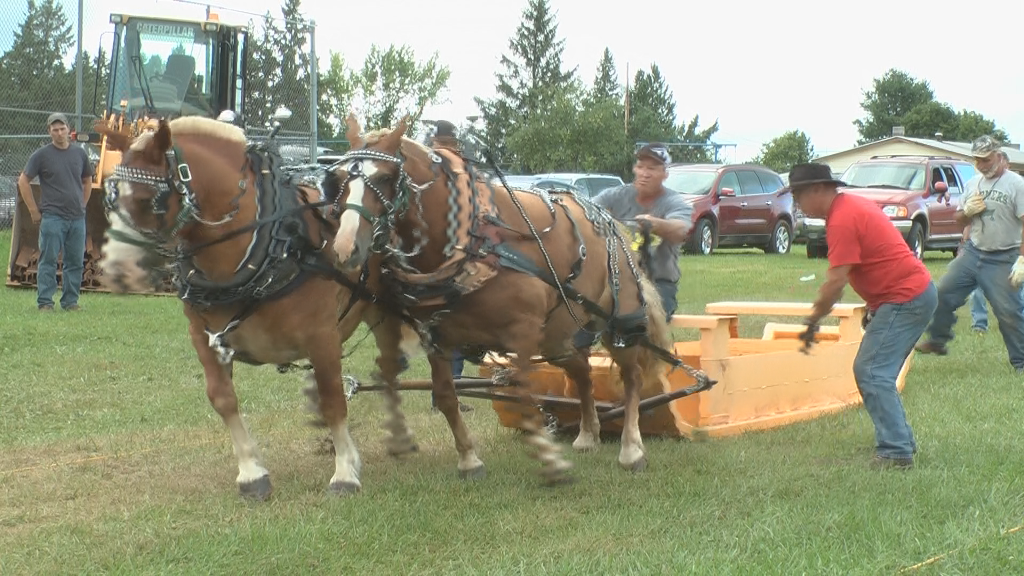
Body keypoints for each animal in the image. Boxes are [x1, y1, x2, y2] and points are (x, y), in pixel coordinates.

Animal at [92, 115, 419, 498]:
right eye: (110, 201)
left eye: (147, 201)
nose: (117, 273)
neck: (272, 242)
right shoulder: (204, 337)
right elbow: (223, 399)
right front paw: (251, 473)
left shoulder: (322, 336)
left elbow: (334, 400)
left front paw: (345, 472)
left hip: (382, 311)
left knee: (389, 371)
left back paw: (398, 436)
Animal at [331, 114, 692, 481]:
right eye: (339, 178)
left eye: (386, 178)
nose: (345, 247)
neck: (474, 243)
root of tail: (613, 222)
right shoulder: (436, 335)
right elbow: (446, 395)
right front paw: (469, 459)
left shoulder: (524, 330)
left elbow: (524, 391)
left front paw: (551, 461)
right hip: (557, 336)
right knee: (581, 371)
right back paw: (588, 433)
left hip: (618, 320)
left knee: (632, 376)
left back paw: (631, 448)